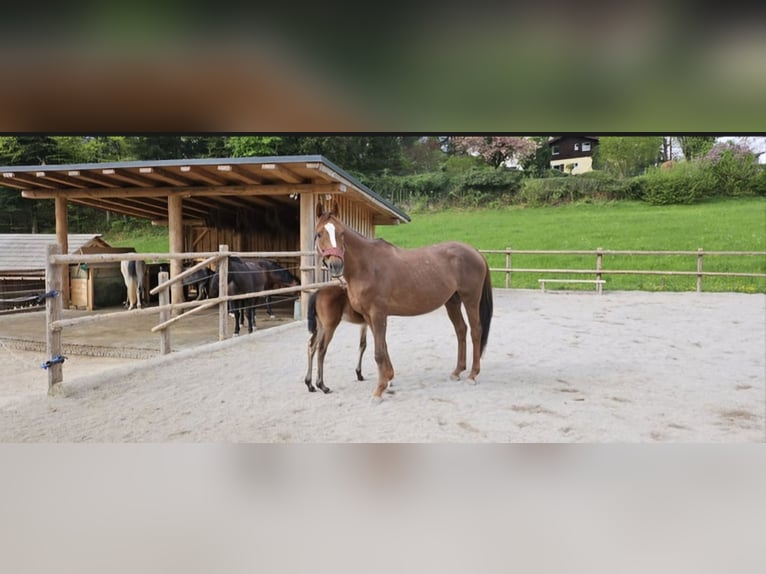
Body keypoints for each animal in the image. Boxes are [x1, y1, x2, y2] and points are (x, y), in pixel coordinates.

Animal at [316, 205, 496, 402]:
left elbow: (378, 352)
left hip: (470, 299)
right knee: (461, 329)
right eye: (319, 234)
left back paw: (472, 375)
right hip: (452, 301)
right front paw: (389, 379)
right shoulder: (369, 316)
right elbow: (383, 346)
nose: (335, 265)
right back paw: (457, 372)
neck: (366, 265)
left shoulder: (377, 313)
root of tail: (475, 252)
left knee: (476, 331)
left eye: (341, 233)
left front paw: (379, 390)